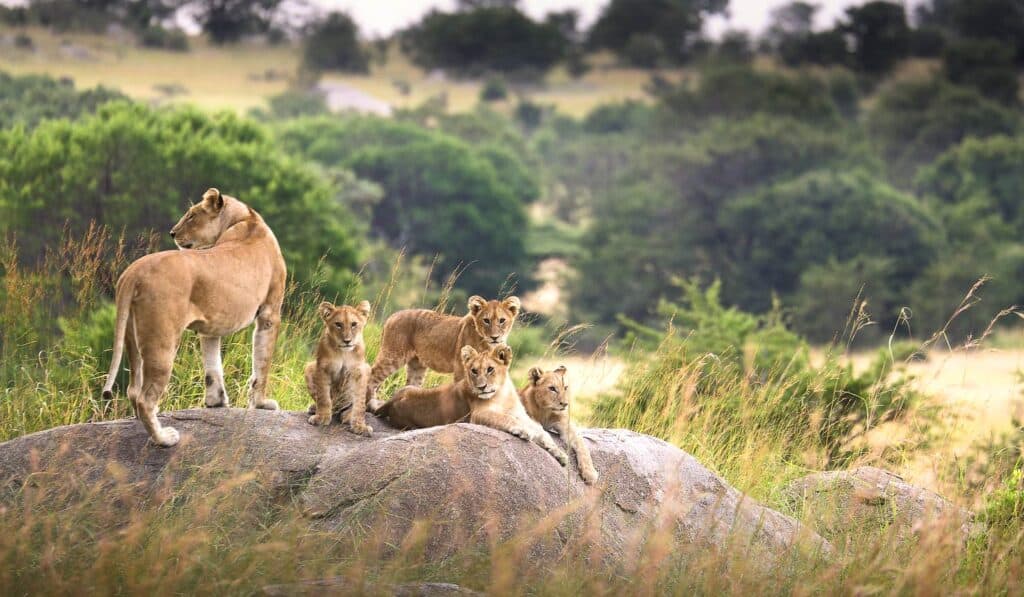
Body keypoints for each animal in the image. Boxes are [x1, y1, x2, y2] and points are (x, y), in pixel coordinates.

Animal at [101, 188, 287, 447]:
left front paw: (216, 402)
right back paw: (164, 438)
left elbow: (212, 365)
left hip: (131, 336)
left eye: (191, 215)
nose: (172, 232)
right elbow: (262, 363)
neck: (244, 218)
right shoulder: (270, 313)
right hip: (163, 341)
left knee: (133, 391)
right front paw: (261, 404)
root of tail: (133, 271)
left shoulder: (212, 324)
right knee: (145, 398)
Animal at [303, 300, 373, 436]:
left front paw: (360, 427)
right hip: (309, 367)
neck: (344, 352)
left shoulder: (359, 371)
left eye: (354, 324)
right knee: (330, 404)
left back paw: (347, 416)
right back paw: (315, 408)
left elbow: (360, 404)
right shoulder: (322, 368)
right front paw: (322, 417)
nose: (347, 341)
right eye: (338, 324)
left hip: (368, 370)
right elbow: (323, 397)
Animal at [365, 295, 520, 412]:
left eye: (502, 320)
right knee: (371, 376)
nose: (495, 337)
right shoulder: (461, 369)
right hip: (393, 356)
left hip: (417, 365)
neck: (487, 344)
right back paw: (370, 406)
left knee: (410, 385)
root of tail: (391, 316)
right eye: (486, 320)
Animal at [377, 344, 568, 467]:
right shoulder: (478, 415)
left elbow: (542, 432)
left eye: (490, 369)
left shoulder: (522, 415)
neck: (502, 394)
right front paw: (522, 430)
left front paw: (560, 455)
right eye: (474, 371)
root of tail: (393, 400)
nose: (481, 387)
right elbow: (506, 419)